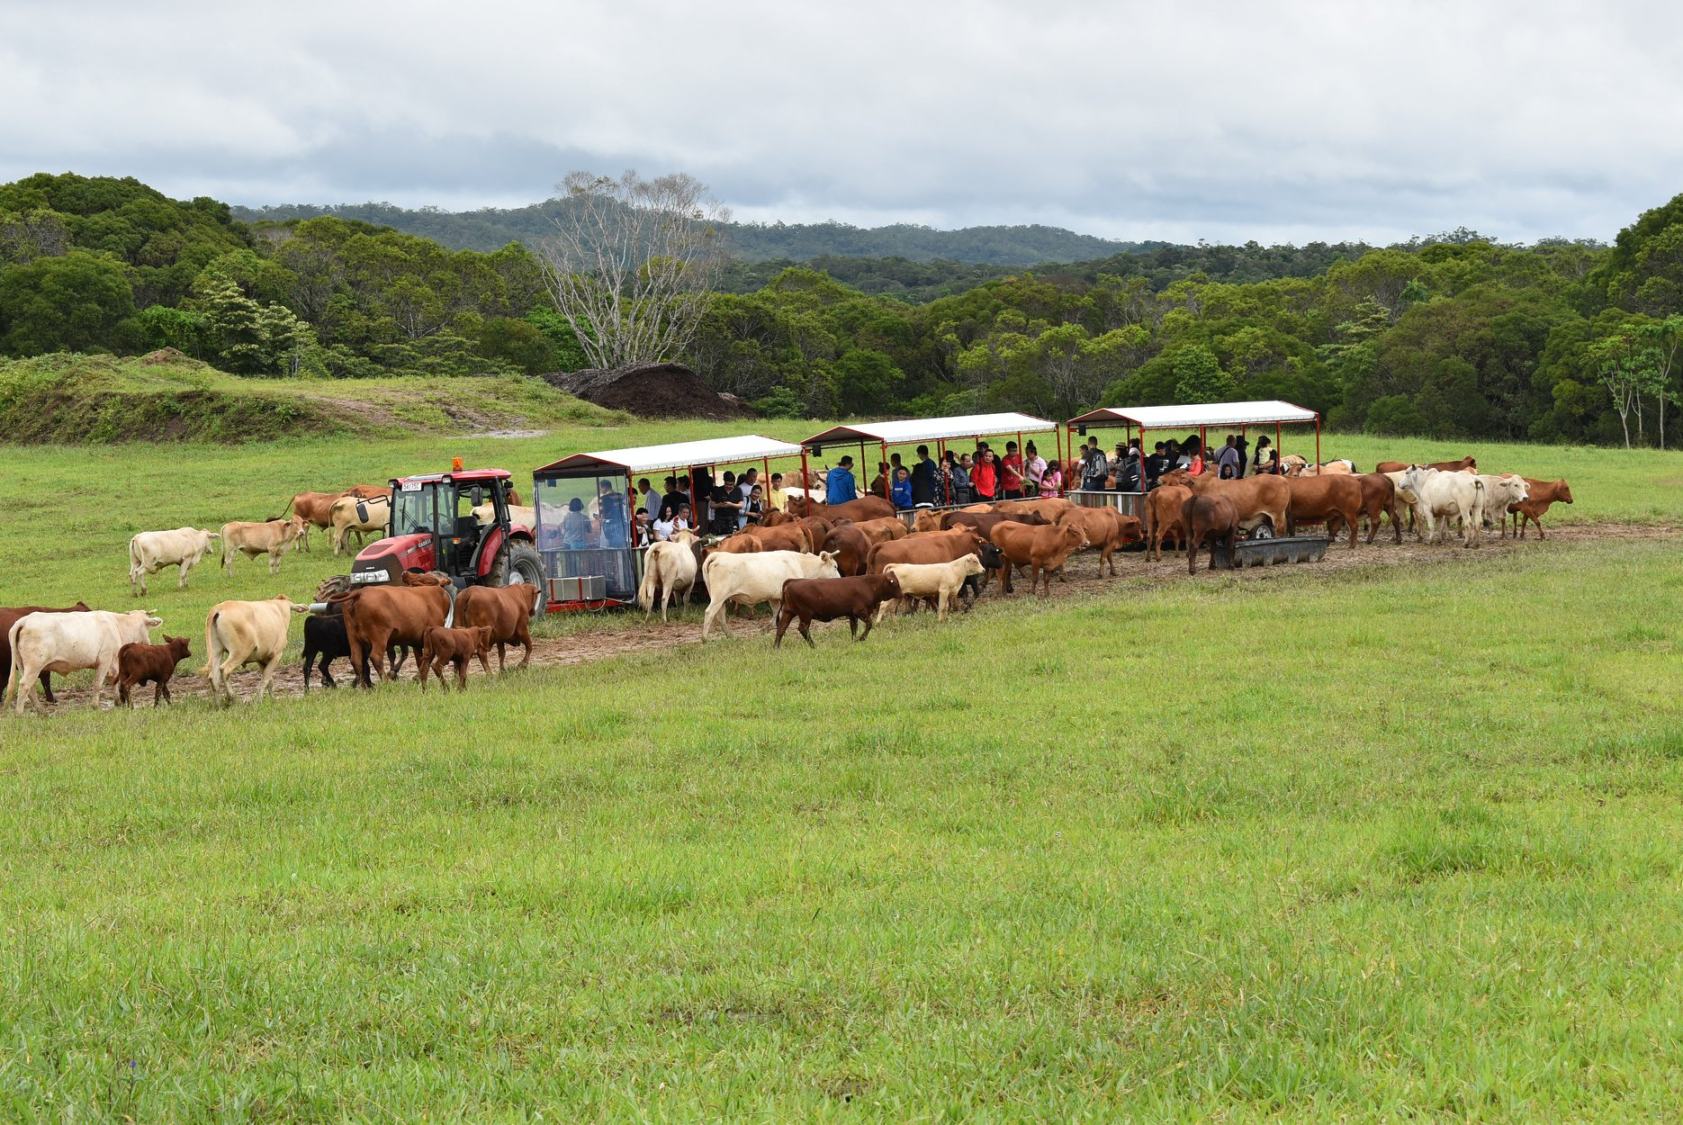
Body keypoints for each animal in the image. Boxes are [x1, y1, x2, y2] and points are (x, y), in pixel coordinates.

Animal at [7, 606, 159, 710]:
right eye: (148, 627)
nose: (149, 643)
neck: (117, 626)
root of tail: (26, 620)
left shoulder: (113, 663)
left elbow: (114, 681)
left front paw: (117, 702)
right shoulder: (105, 659)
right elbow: (98, 684)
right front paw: (95, 706)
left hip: (24, 666)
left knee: (30, 688)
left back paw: (40, 711)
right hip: (34, 665)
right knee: (25, 685)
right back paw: (20, 713)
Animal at [700, 545, 838, 636]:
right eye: (835, 566)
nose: (839, 579)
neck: (800, 564)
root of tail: (718, 555)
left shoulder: (774, 597)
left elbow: (776, 612)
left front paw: (767, 628)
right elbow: (781, 614)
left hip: (719, 597)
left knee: (720, 615)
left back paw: (730, 635)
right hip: (719, 596)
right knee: (709, 612)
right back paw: (704, 638)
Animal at [777, 572, 908, 650]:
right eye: (895, 583)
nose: (902, 594)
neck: (869, 585)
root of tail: (793, 581)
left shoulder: (852, 615)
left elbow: (854, 629)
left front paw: (854, 641)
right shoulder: (860, 611)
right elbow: (869, 624)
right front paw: (861, 639)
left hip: (788, 612)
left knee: (781, 629)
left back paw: (776, 648)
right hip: (805, 614)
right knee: (802, 629)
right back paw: (814, 646)